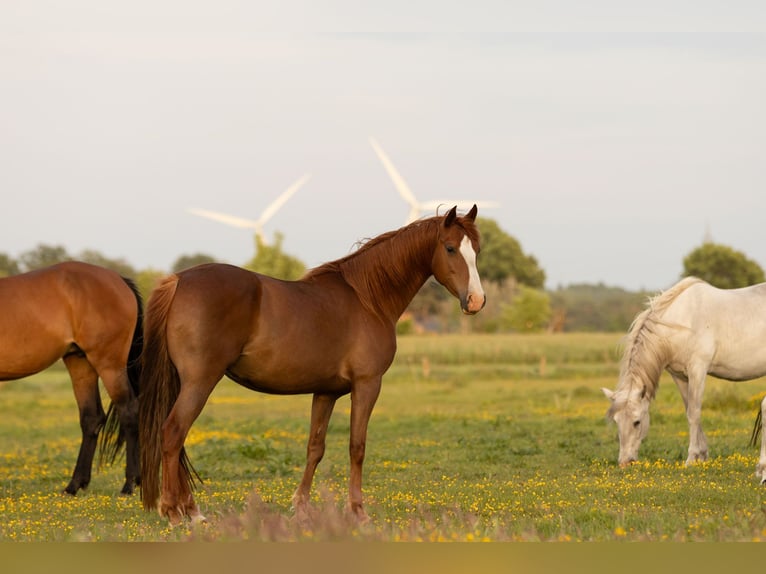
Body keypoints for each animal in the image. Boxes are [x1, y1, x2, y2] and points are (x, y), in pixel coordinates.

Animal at [0, 261, 143, 494]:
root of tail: (118, 279)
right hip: (80, 363)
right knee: (91, 418)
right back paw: (75, 485)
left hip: (109, 365)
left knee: (129, 411)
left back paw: (129, 484)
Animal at [139, 205, 485, 524]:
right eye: (450, 248)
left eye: (477, 250)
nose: (476, 301)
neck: (367, 299)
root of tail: (178, 280)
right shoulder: (367, 384)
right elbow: (357, 446)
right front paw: (358, 511)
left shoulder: (326, 392)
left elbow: (315, 447)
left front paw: (302, 507)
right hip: (200, 382)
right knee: (173, 433)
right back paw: (176, 512)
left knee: (177, 439)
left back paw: (190, 510)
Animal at [602, 276, 766, 478]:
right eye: (616, 421)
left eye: (637, 422)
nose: (625, 463)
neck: (683, 322)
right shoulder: (679, 376)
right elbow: (689, 409)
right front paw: (702, 455)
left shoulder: (698, 370)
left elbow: (694, 413)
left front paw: (691, 458)